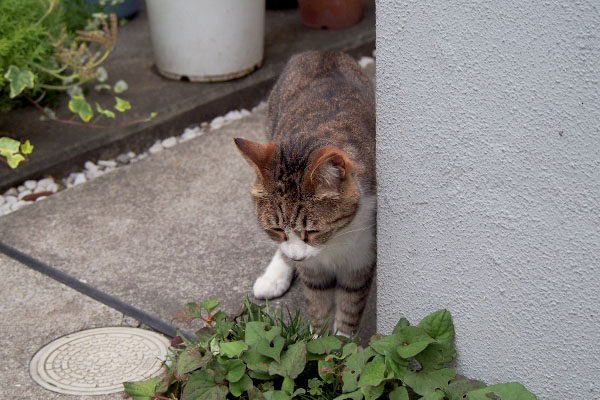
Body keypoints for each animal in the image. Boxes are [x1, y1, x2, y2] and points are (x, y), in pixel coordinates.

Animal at [234, 51, 376, 336]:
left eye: (313, 231)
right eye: (277, 229)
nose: (296, 256)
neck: (333, 243)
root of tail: (322, 52)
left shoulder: (362, 260)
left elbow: (349, 311)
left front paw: (342, 345)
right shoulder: (312, 271)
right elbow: (319, 309)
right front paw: (317, 341)